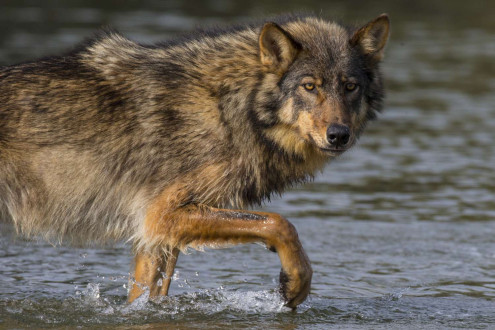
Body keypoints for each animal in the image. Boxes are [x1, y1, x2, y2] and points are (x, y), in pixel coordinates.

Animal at [0, 12, 390, 306]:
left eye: (350, 87)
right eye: (310, 86)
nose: (339, 135)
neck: (230, 108)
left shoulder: (157, 235)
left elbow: (146, 297)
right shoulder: (161, 215)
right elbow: (279, 223)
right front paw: (295, 282)